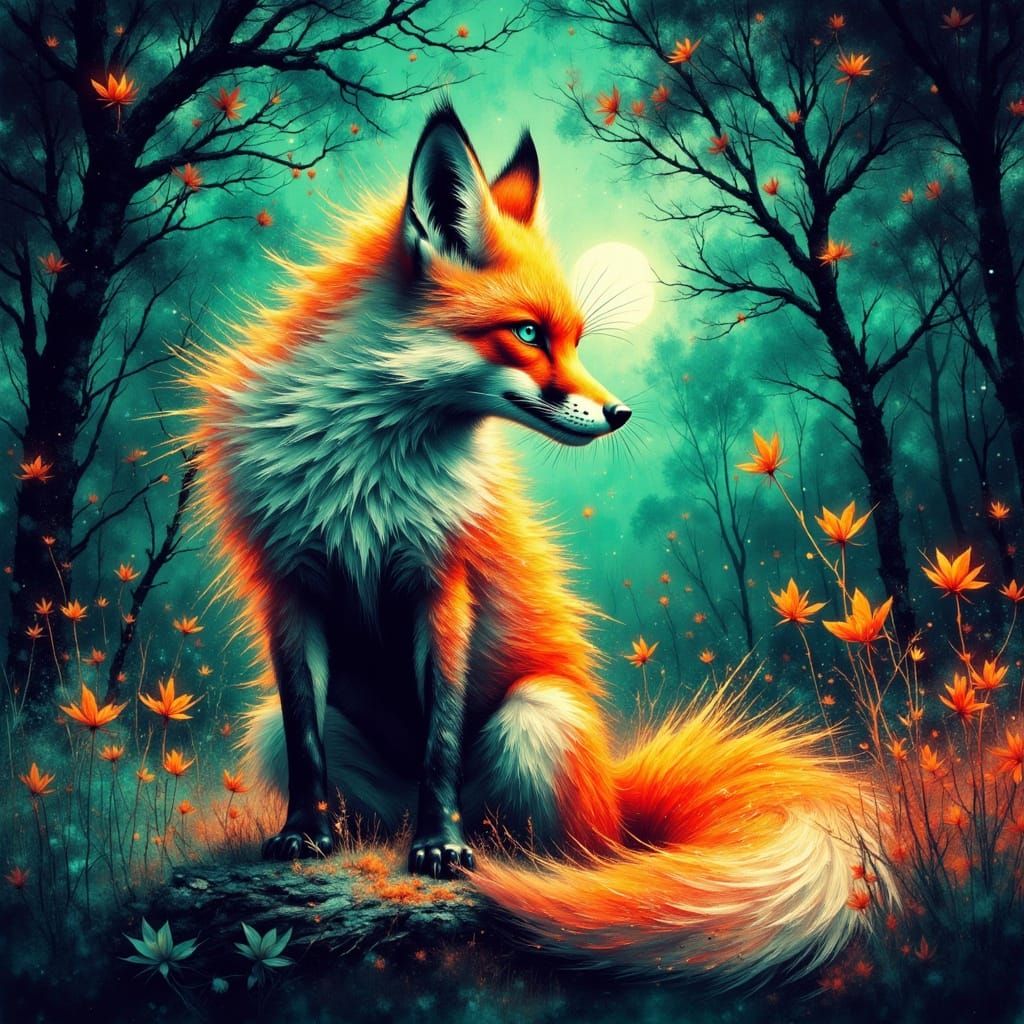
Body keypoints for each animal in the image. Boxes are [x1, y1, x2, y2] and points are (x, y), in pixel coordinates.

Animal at [187, 102, 887, 987]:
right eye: (526, 333)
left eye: (578, 338)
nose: (621, 414)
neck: (366, 465)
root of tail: (615, 803)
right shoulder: (289, 587)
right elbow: (310, 736)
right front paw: (304, 836)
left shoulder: (441, 581)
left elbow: (441, 736)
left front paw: (440, 847)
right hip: (277, 734)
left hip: (538, 716)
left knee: (584, 860)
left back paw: (508, 861)